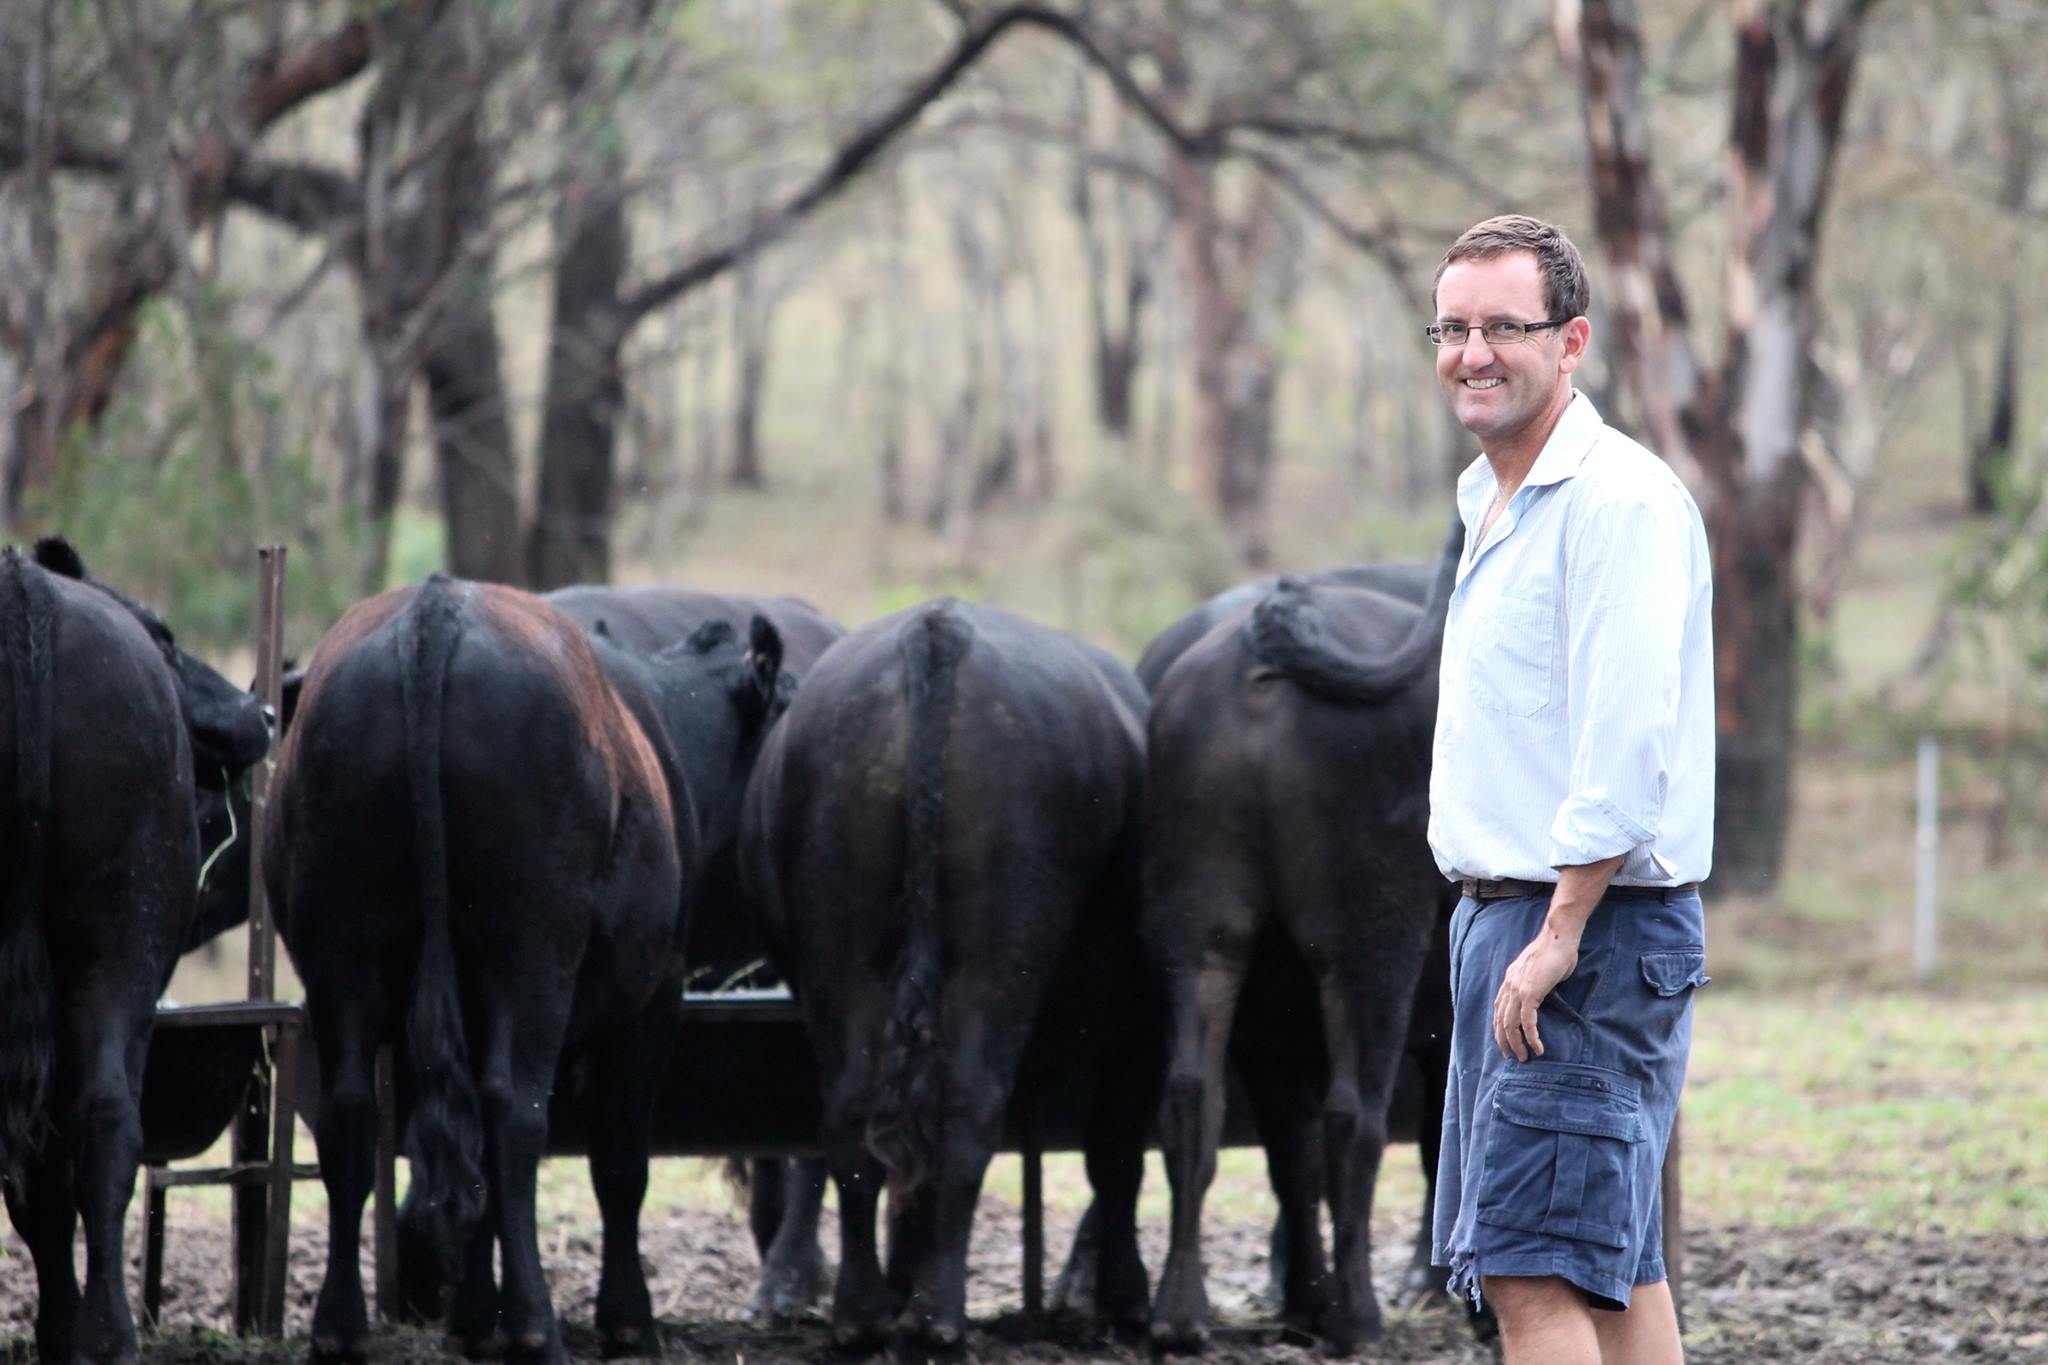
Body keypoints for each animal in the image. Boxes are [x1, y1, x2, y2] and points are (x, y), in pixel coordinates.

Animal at [2, 540, 270, 1365]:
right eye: (168, 637)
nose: (264, 710)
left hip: (114, 950)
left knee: (88, 1129)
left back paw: (91, 1330)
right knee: (92, 1126)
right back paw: (98, 1331)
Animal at [262, 581, 782, 1365]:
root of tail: (433, 609)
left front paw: (477, 1317)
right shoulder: (656, 992)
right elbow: (620, 1158)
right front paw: (625, 1319)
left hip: (339, 949)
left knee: (352, 1113)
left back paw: (341, 1327)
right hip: (530, 950)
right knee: (514, 1112)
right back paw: (537, 1327)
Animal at [741, 601, 1163, 1358]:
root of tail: (938, 631)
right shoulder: (1141, 1023)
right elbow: (1116, 1152)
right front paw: (1124, 1297)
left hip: (841, 957)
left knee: (855, 1119)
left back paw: (865, 1312)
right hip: (999, 960)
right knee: (968, 1110)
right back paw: (938, 1315)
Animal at [1146, 527, 1466, 1358]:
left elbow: (1294, 1154)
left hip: (1204, 934)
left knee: (1197, 1096)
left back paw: (1186, 1311)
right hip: (1371, 945)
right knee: (1355, 1115)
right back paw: (1355, 1314)